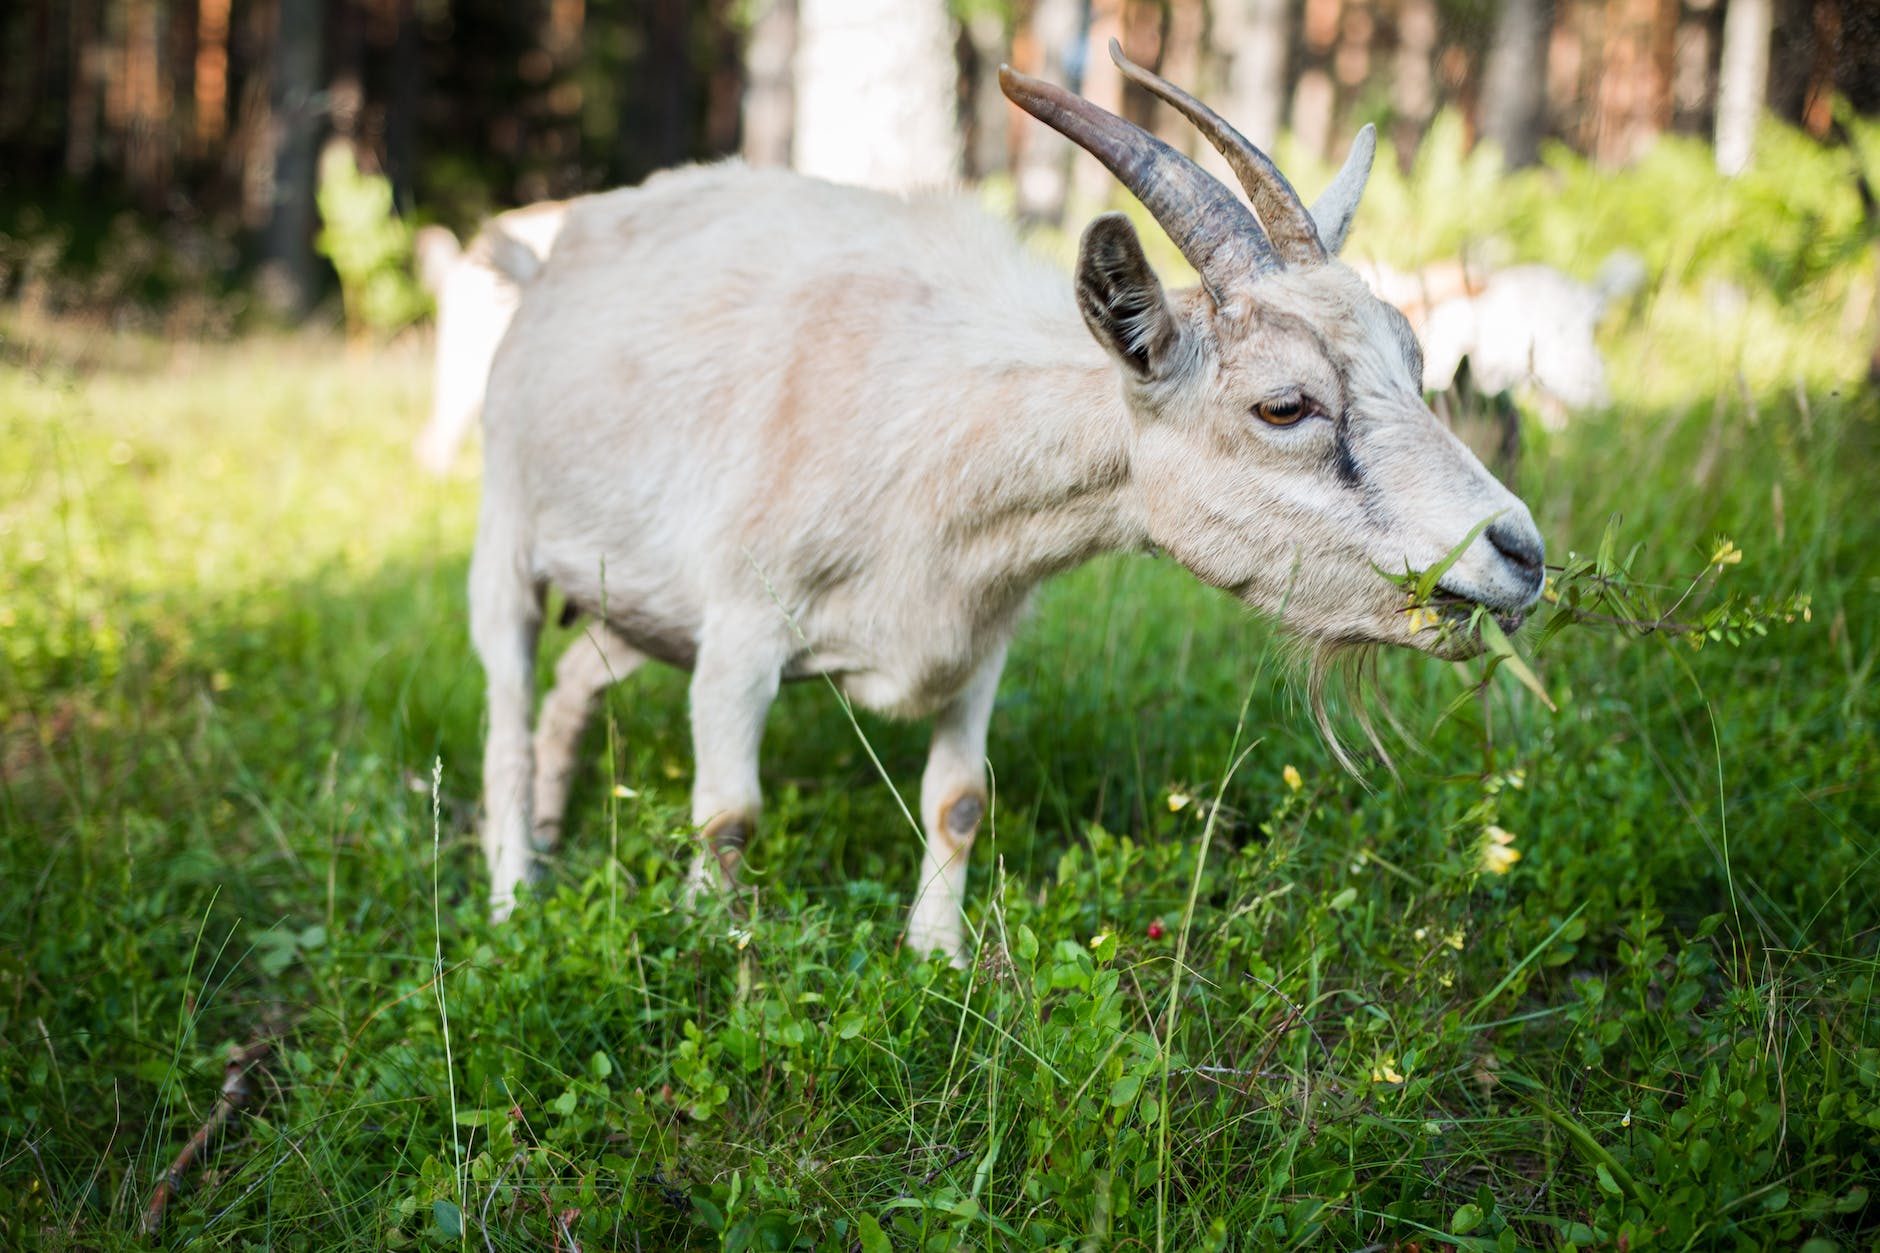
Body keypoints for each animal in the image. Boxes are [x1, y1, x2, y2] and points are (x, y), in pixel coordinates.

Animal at [469, 43, 1546, 963]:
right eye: (1284, 404)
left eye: (1414, 360)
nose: (1521, 553)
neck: (936, 431)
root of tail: (547, 263)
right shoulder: (739, 631)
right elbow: (729, 816)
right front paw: (716, 959)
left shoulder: (977, 637)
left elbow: (957, 799)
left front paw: (936, 960)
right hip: (507, 535)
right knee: (508, 712)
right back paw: (514, 897)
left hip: (636, 601)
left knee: (574, 681)